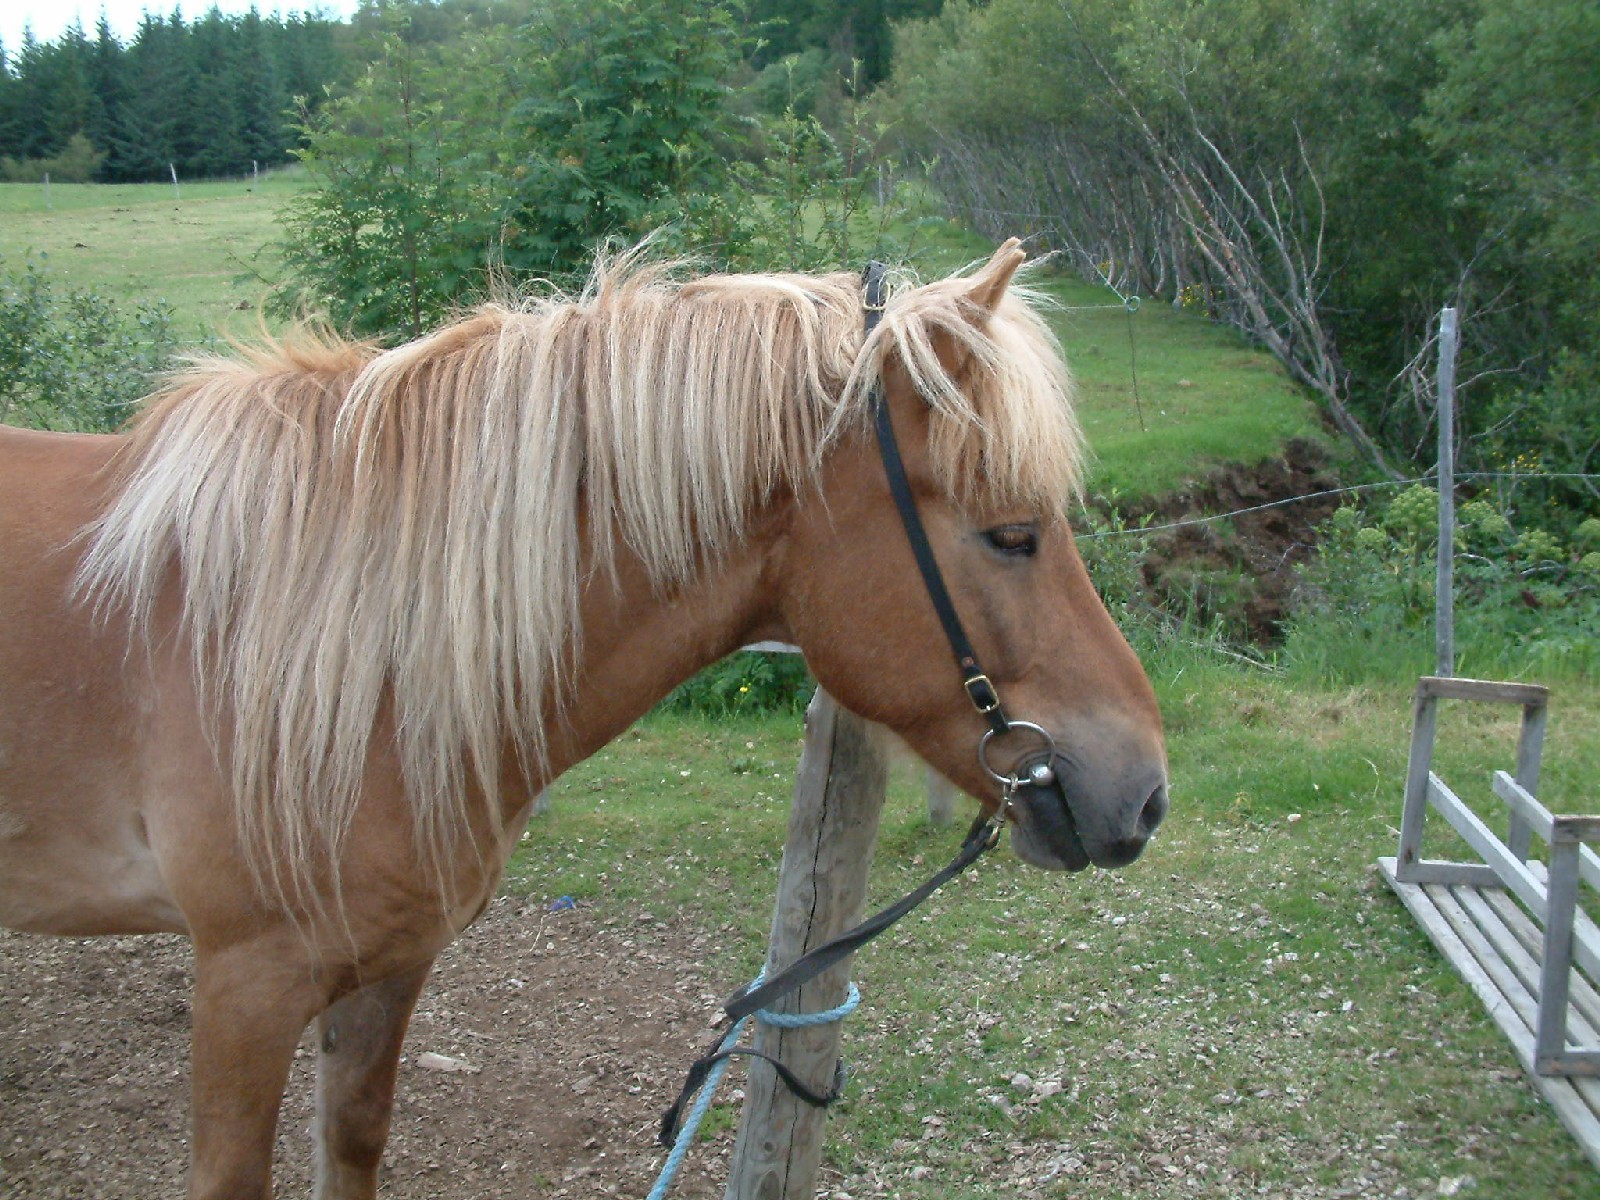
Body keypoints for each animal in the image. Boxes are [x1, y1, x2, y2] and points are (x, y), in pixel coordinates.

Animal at [0, 241, 1164, 1196]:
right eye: (1012, 534)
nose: (1146, 792)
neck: (357, 644)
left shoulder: (385, 967)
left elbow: (355, 1144)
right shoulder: (246, 983)